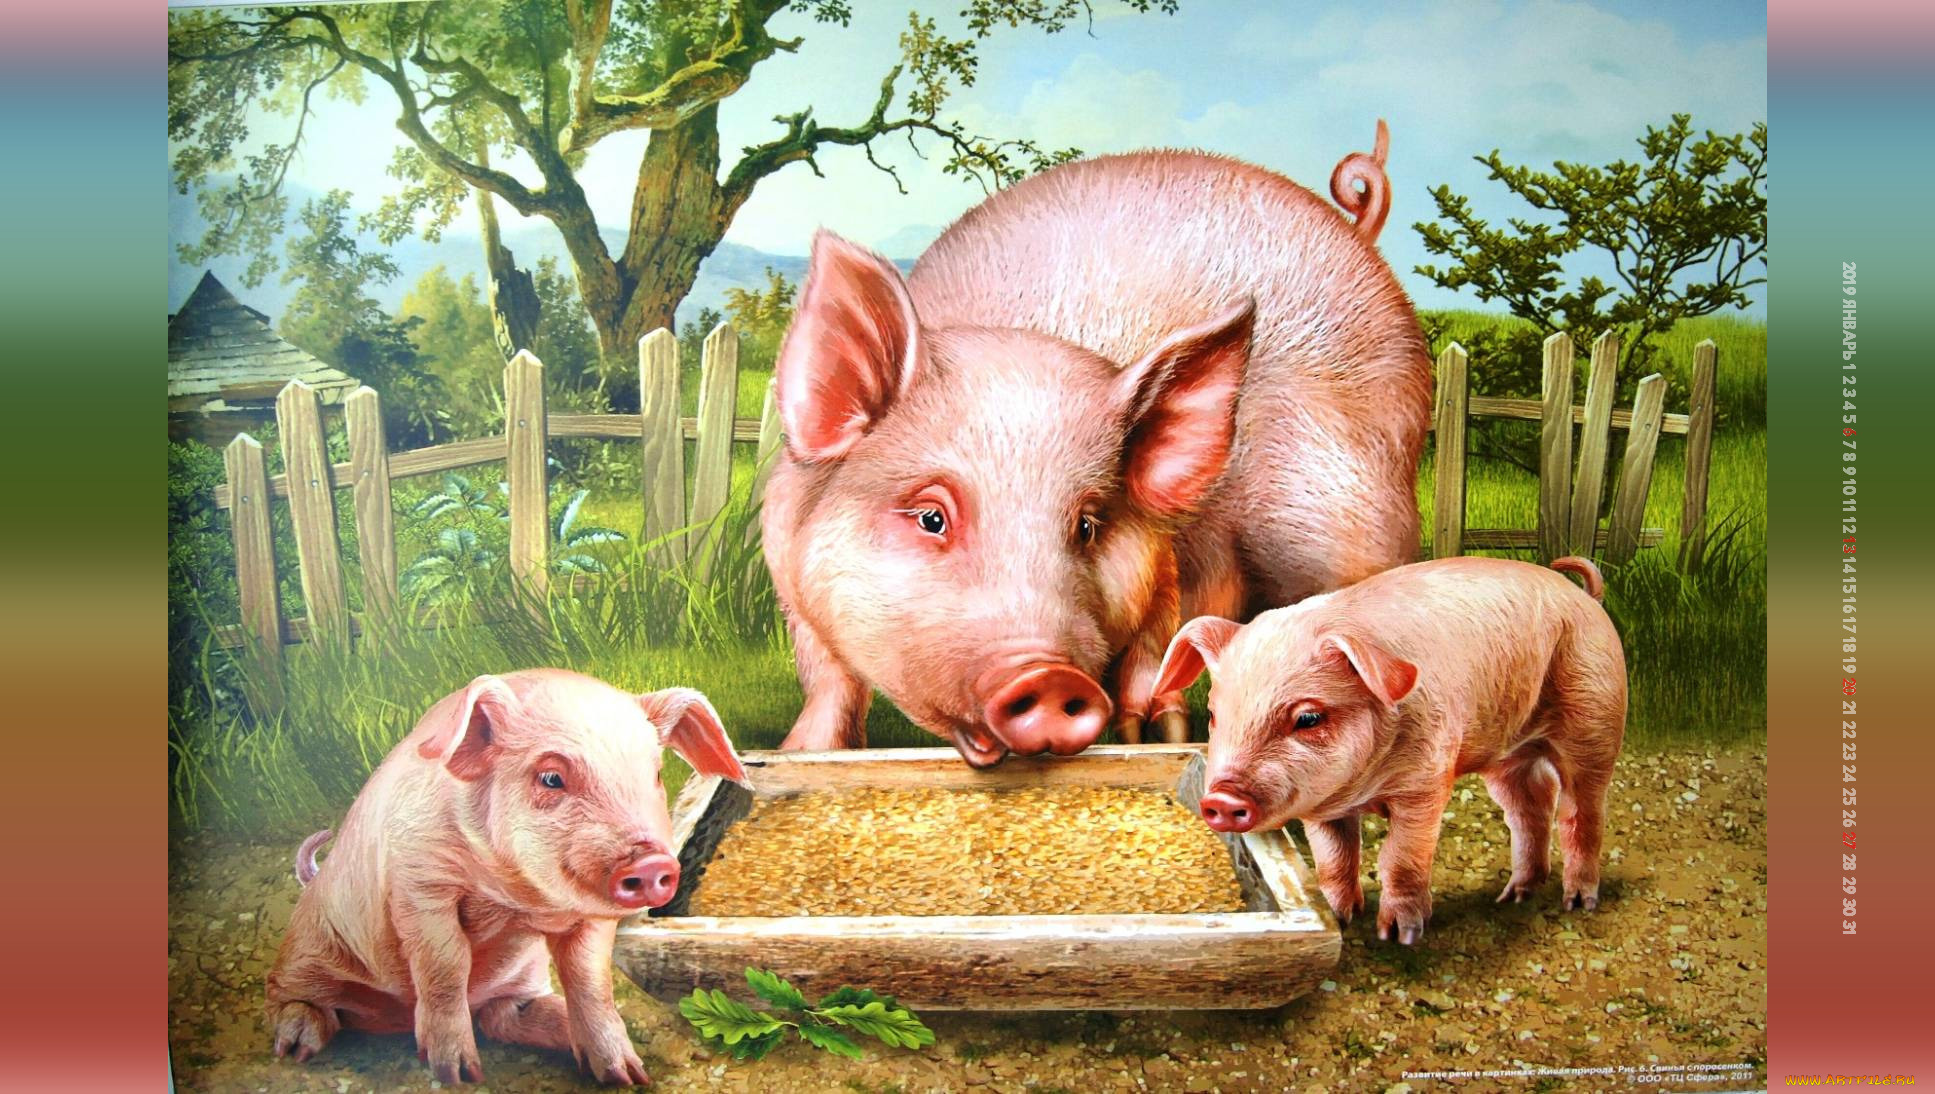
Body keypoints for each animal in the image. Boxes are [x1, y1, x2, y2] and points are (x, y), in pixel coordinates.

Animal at [264, 669, 747, 1085]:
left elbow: (590, 981)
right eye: (551, 777)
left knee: (502, 1017)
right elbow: (444, 967)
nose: (651, 863)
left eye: (656, 774)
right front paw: (458, 1075)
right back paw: (297, 1046)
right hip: (307, 953)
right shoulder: (420, 885)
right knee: (294, 997)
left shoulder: (591, 919)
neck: (516, 898)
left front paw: (627, 1076)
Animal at [762, 125, 1432, 767]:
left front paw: (1154, 735)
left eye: (1087, 524)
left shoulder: (1165, 560)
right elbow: (829, 679)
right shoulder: (790, 581)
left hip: (1348, 522)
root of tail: (1353, 231)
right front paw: (801, 750)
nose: (1049, 677)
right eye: (932, 516)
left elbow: (1154, 646)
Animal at [1152, 556, 1626, 944]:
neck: (1364, 787)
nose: (1220, 798)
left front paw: (1399, 936)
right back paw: (1514, 897)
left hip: (1595, 720)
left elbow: (1401, 858)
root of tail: (1585, 597)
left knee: (1582, 812)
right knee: (1529, 807)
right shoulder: (1323, 806)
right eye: (1215, 714)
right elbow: (1333, 859)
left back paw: (1578, 902)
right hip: (1509, 755)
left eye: (1309, 718)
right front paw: (1338, 917)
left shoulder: (1427, 782)